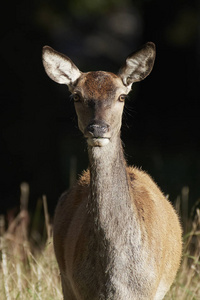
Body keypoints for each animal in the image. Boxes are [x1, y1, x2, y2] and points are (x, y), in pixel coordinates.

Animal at [42, 42, 183, 300]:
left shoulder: (150, 291)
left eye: (122, 96)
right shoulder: (80, 289)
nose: (98, 128)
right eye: (76, 96)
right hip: (65, 279)